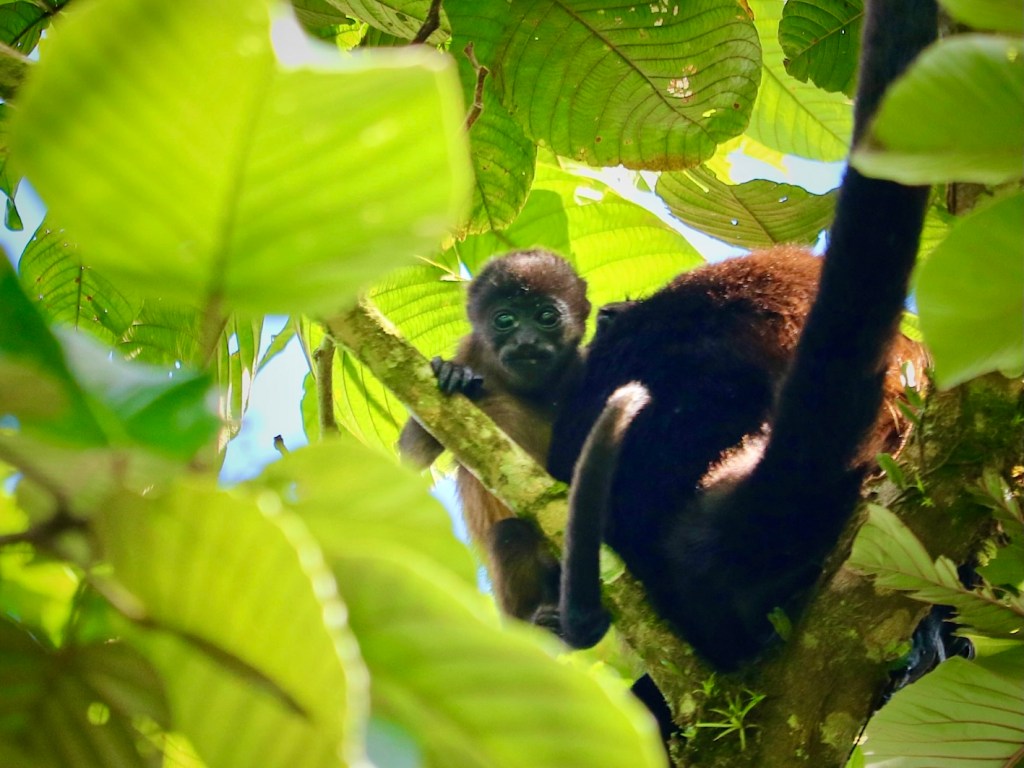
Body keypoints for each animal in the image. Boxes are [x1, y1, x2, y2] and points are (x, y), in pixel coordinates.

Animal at [398, 249, 591, 622]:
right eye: (505, 320)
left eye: (546, 316)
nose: (526, 341)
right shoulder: (470, 352)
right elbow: (411, 452)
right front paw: (452, 373)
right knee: (509, 534)